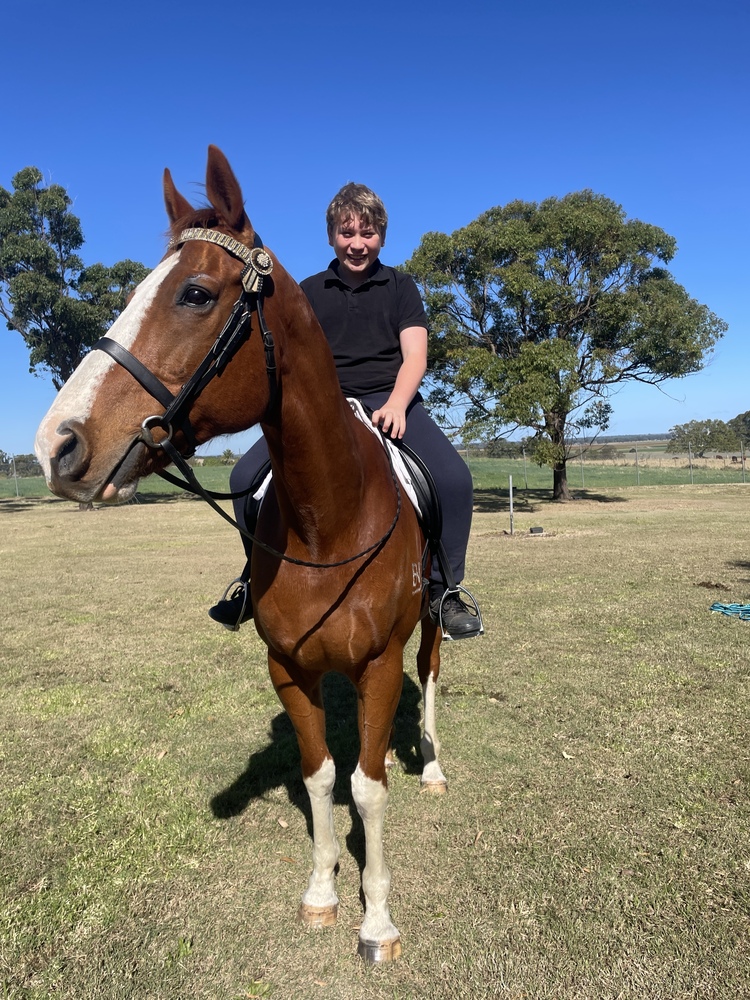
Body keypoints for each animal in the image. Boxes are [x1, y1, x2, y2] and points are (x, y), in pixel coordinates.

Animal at [35, 145, 448, 963]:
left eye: (195, 293)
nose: (56, 445)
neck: (330, 520)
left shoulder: (380, 664)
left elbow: (368, 787)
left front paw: (377, 920)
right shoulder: (287, 667)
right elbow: (322, 778)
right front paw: (322, 892)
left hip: (431, 628)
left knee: (431, 676)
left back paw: (434, 764)